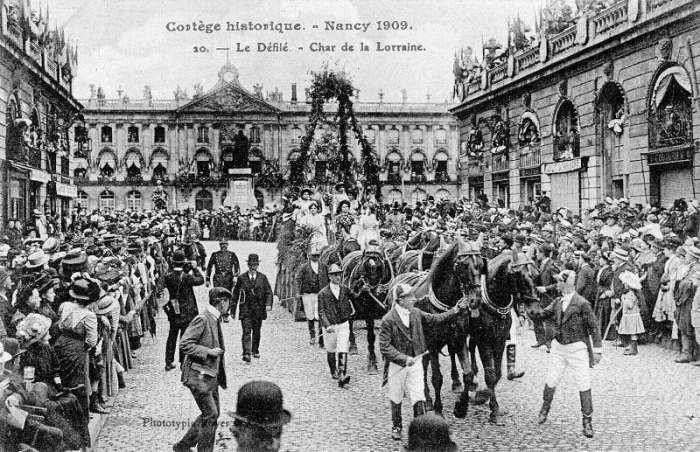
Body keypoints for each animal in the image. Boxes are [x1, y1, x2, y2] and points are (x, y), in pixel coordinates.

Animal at [382, 235, 486, 418]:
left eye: (481, 264)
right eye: (464, 265)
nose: (476, 300)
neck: (444, 304)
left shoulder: (458, 339)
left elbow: (467, 373)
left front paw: (461, 405)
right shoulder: (432, 345)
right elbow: (436, 377)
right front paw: (437, 408)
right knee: (422, 368)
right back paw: (428, 399)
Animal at [464, 251, 548, 424]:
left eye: (537, 275)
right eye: (519, 276)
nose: (536, 311)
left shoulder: (500, 340)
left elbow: (496, 373)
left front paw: (487, 398)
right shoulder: (485, 341)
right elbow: (490, 374)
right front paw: (491, 406)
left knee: (471, 348)